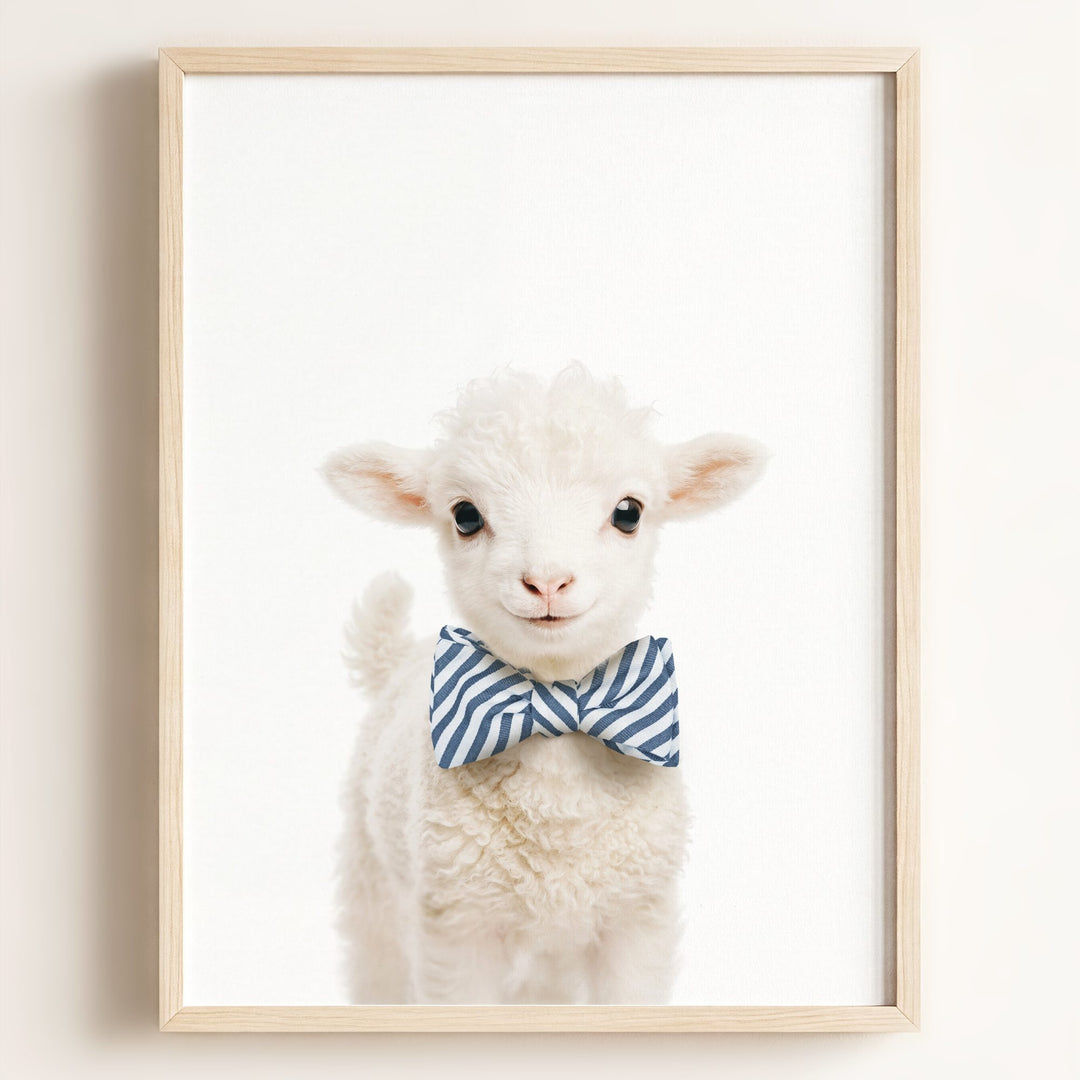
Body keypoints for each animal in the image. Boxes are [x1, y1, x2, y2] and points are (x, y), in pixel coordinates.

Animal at [322, 364, 765, 1004]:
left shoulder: (637, 919)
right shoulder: (457, 925)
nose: (548, 581)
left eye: (629, 512)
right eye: (465, 515)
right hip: (374, 881)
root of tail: (397, 659)